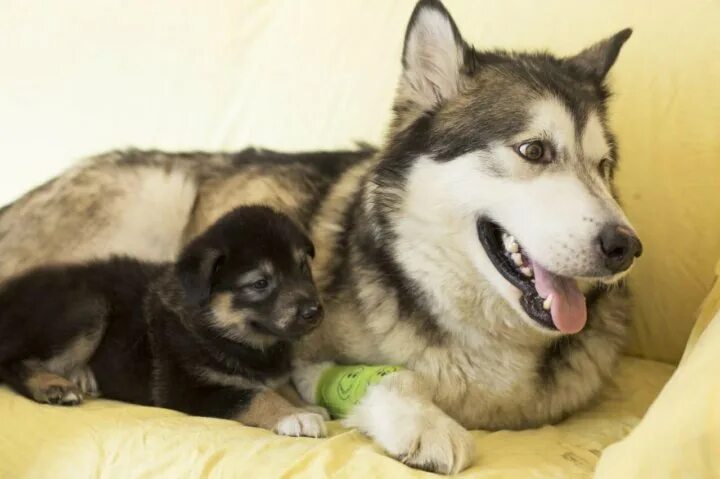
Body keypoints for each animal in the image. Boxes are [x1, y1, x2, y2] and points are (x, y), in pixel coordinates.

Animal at [0, 206, 324, 438]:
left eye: (302, 268)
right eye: (260, 283)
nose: (315, 311)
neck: (223, 330)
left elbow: (279, 385)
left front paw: (305, 405)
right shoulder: (190, 389)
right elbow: (254, 395)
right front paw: (294, 416)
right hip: (89, 306)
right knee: (13, 360)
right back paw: (53, 385)